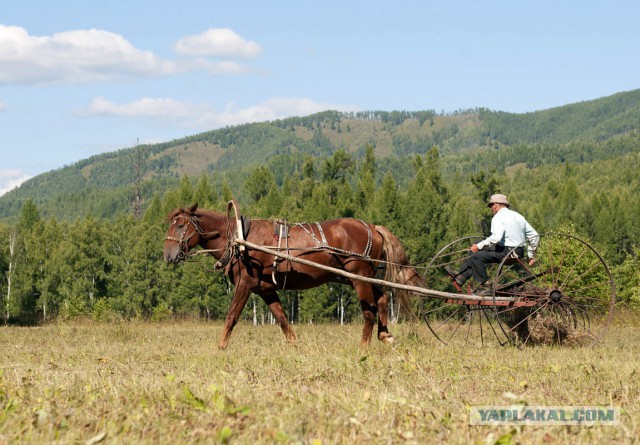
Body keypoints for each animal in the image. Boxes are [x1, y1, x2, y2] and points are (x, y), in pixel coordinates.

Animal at [165, 201, 424, 350]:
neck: (240, 239)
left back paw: (363, 346)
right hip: (360, 277)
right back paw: (385, 335)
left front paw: (220, 347)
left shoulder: (245, 283)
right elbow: (282, 319)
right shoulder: (265, 288)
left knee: (369, 310)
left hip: (359, 277)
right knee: (382, 299)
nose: (168, 255)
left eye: (181, 226)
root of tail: (372, 227)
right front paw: (295, 345)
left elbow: (232, 317)